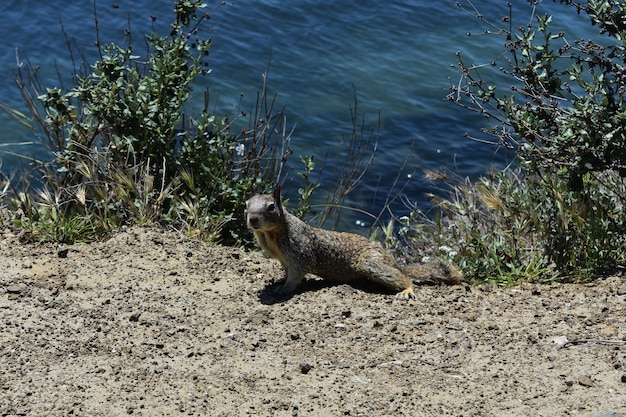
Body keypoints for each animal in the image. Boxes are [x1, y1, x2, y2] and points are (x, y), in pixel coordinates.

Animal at [246, 186, 460, 300]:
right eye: (246, 204)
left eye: (271, 207)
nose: (253, 219)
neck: (271, 234)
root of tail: (391, 259)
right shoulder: (283, 259)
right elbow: (287, 272)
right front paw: (280, 281)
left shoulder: (299, 250)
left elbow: (297, 273)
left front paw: (284, 289)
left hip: (371, 263)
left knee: (404, 278)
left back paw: (406, 289)